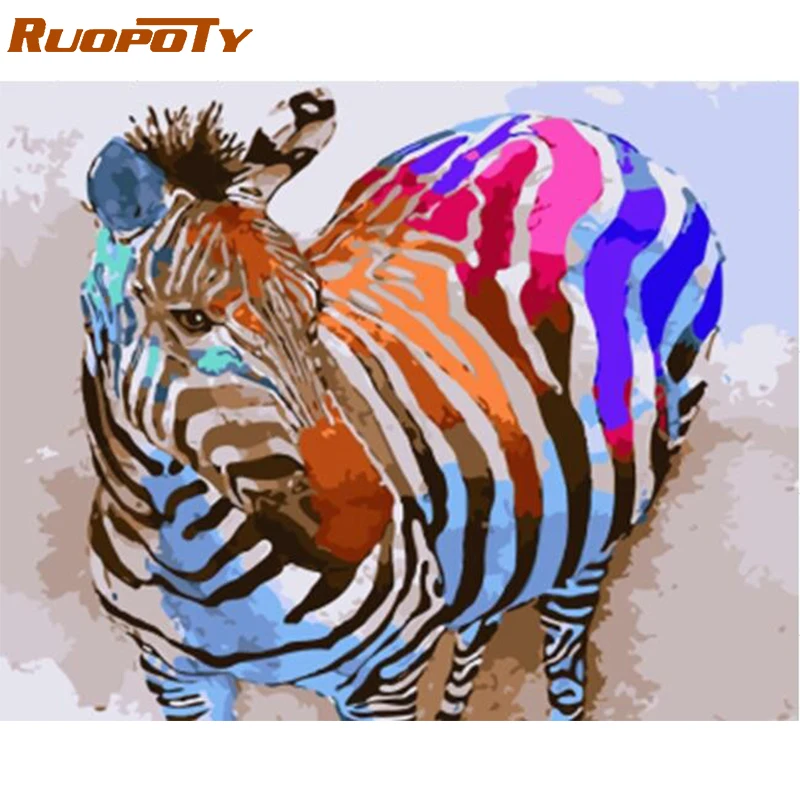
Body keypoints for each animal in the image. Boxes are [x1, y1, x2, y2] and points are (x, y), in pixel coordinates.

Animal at [80, 88, 723, 721]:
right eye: (192, 319)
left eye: (315, 308)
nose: (365, 518)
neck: (187, 549)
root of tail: (569, 126)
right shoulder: (177, 681)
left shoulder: (384, 679)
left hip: (605, 523)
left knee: (565, 657)